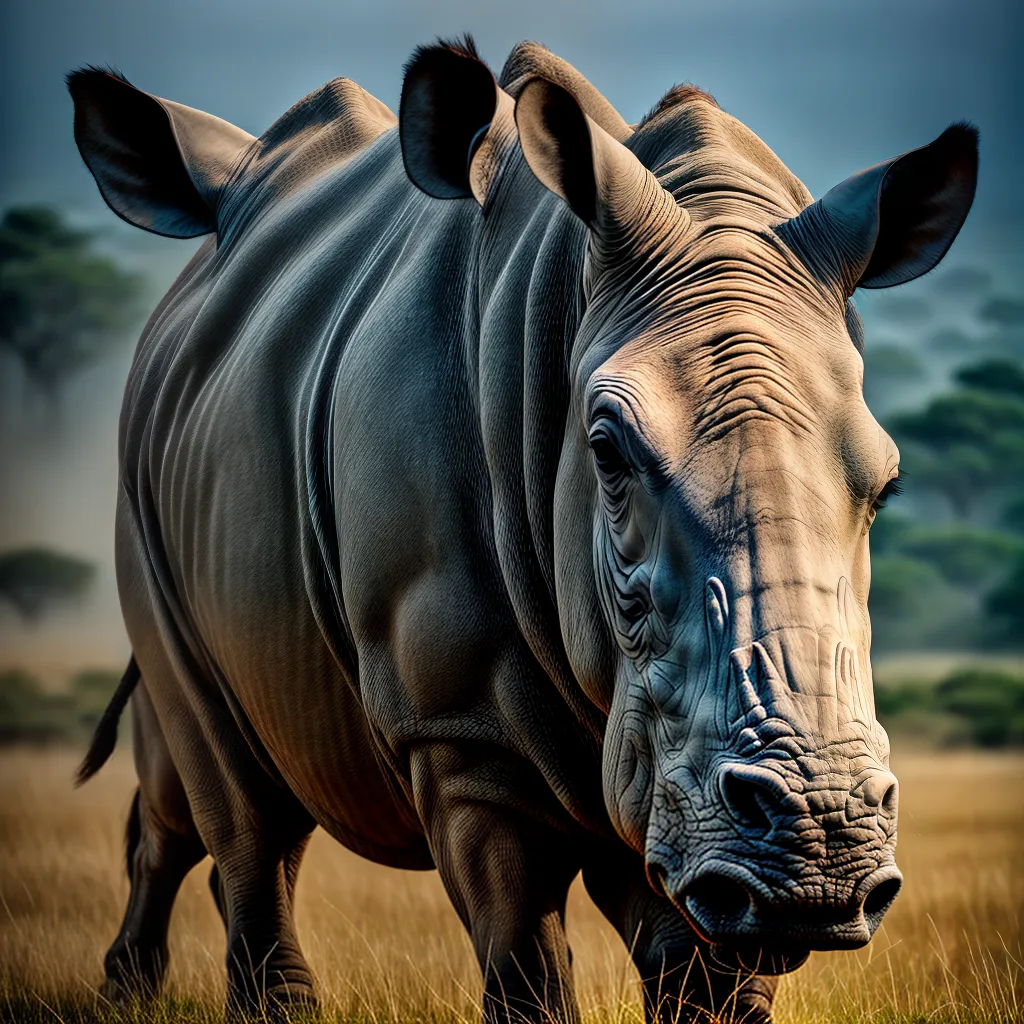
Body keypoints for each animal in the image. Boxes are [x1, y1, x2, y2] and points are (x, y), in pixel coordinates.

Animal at [70, 36, 977, 1024]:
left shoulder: (675, 786)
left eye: (888, 484)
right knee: (236, 799)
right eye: (607, 455)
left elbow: (705, 976)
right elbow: (524, 965)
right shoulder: (462, 734)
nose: (818, 847)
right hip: (141, 511)